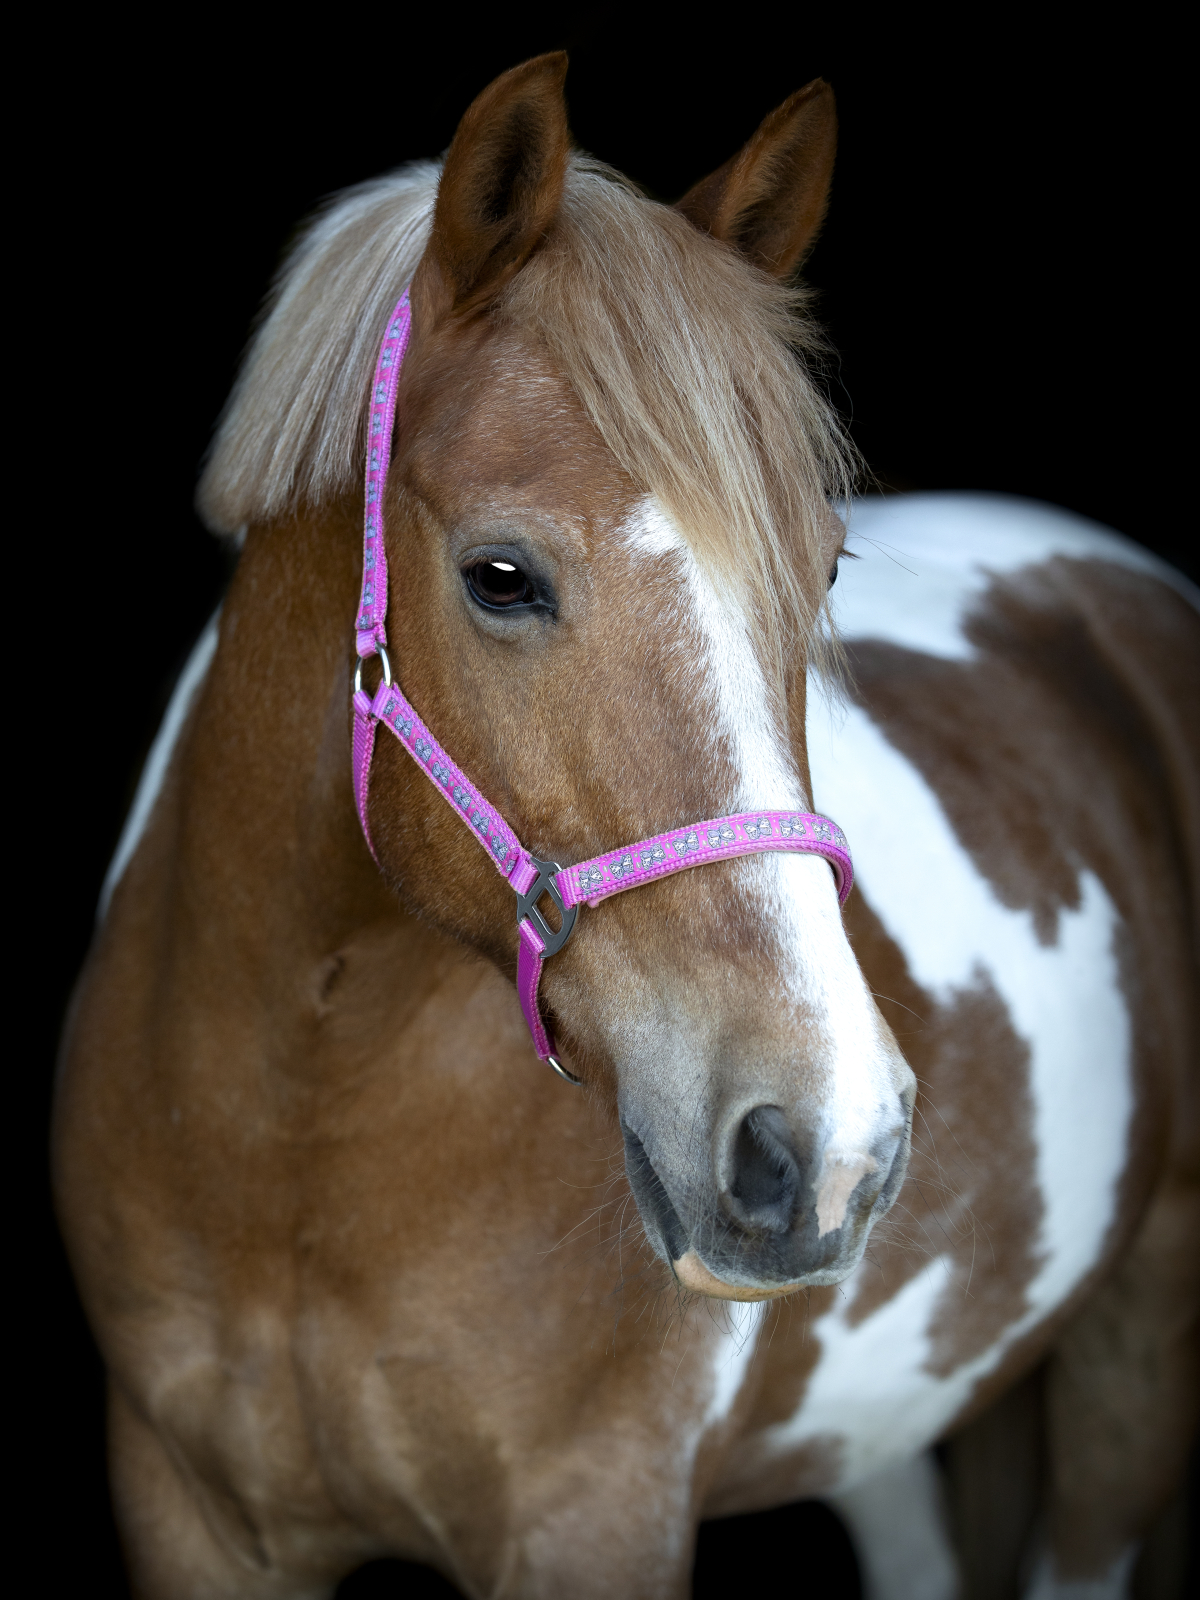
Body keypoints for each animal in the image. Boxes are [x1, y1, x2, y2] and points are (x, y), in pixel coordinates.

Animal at [53, 54, 1199, 1600]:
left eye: (823, 569)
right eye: (500, 576)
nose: (824, 1144)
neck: (298, 1139)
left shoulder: (594, 1518)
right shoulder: (191, 1521)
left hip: (1138, 1352)